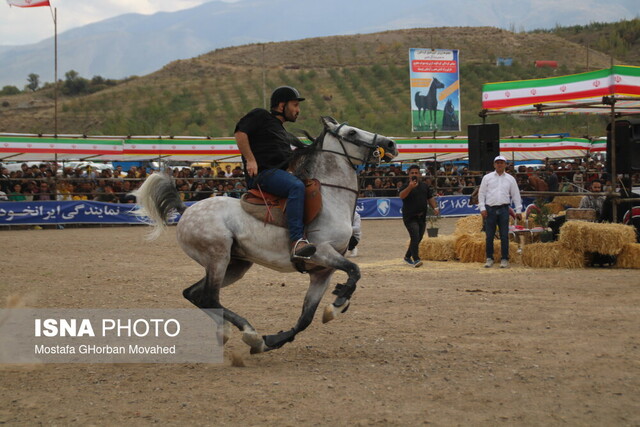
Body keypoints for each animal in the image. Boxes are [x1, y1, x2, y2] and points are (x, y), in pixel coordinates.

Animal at [134, 117, 396, 354]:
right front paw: (339, 301)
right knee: (209, 297)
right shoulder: (321, 253)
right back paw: (248, 332)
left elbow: (307, 317)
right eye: (351, 132)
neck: (331, 198)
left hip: (235, 266)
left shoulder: (322, 272)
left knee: (194, 295)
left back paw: (233, 333)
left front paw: (275, 339)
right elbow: (354, 270)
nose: (391, 143)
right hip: (218, 259)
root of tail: (186, 210)